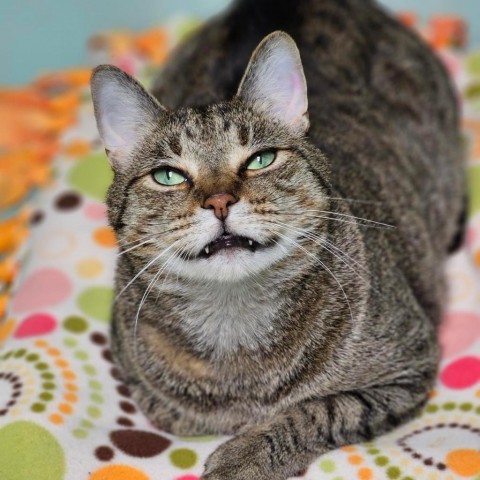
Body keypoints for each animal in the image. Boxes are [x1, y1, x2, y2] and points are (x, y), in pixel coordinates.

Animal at [90, 0, 464, 478]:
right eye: (168, 176)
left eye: (261, 159)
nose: (220, 201)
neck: (235, 326)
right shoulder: (148, 391)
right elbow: (188, 413)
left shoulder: (407, 369)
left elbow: (318, 410)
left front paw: (244, 455)